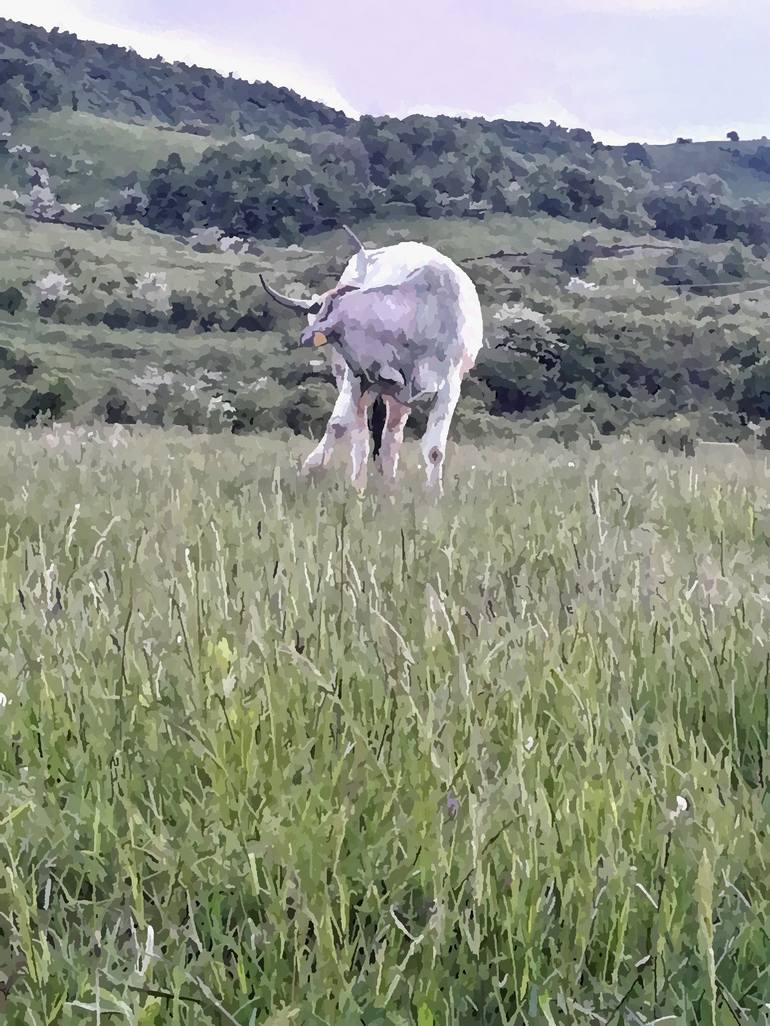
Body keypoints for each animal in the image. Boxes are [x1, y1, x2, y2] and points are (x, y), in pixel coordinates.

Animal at [262, 228, 484, 492]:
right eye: (339, 338)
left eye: (343, 331)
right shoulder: (358, 379)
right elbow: (344, 427)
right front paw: (341, 480)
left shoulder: (449, 386)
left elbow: (434, 450)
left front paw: (434, 494)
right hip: (357, 384)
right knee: (357, 430)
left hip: (394, 398)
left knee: (390, 438)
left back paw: (389, 485)